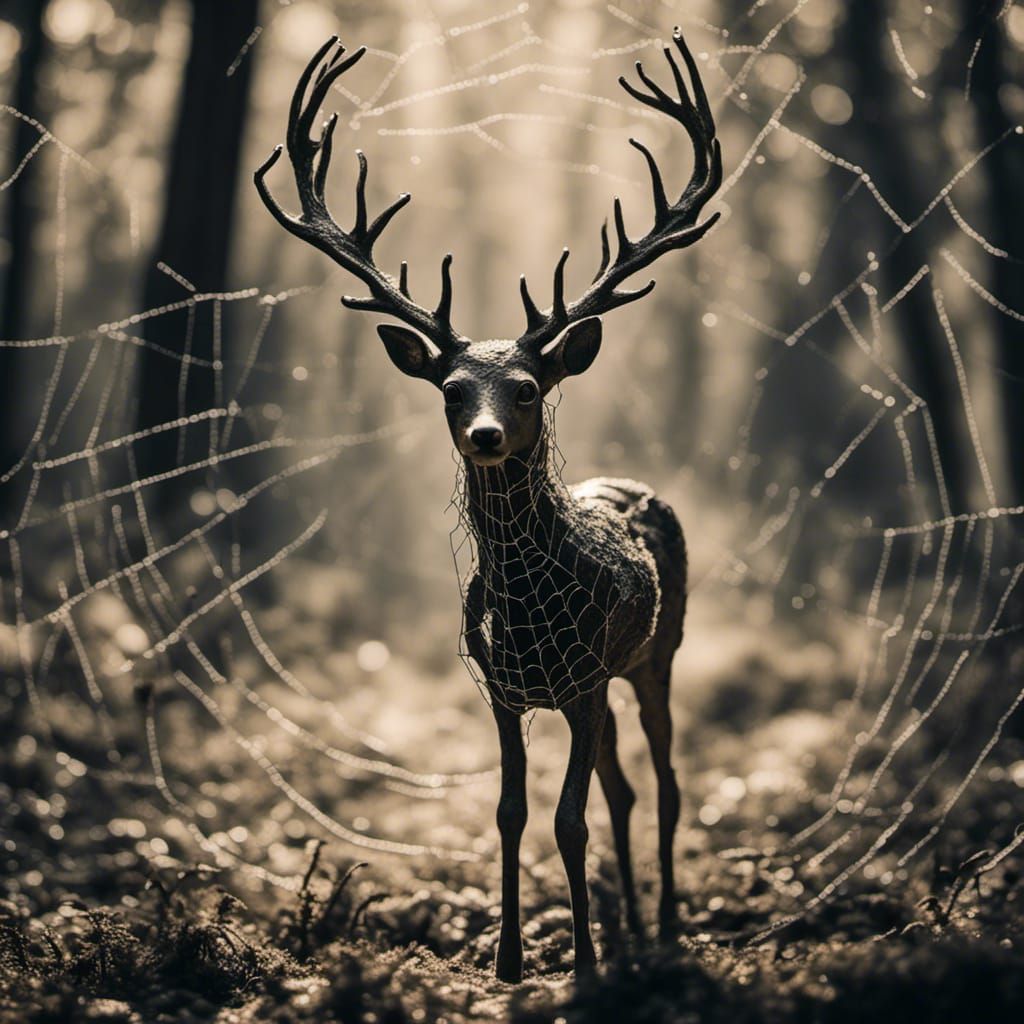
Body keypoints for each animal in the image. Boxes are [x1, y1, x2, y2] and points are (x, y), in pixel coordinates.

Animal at [255, 29, 722, 981]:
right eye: (451, 389)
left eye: (528, 387)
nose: (485, 435)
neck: (532, 605)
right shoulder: (504, 689)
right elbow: (512, 815)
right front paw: (511, 960)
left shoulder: (583, 681)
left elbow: (569, 820)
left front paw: (580, 965)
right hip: (605, 685)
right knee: (625, 788)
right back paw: (626, 926)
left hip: (657, 654)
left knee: (663, 784)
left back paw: (659, 929)